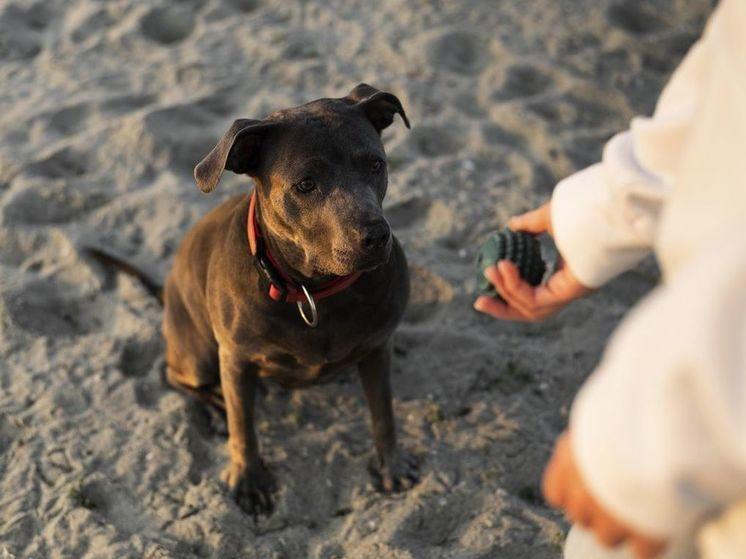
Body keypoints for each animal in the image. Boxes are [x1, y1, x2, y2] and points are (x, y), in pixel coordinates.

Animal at [90, 85, 416, 520]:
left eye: (376, 165)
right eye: (306, 184)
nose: (376, 236)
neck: (313, 291)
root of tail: (167, 290)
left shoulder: (378, 350)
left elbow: (384, 415)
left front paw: (391, 465)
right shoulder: (236, 360)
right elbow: (243, 428)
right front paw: (248, 479)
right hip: (198, 352)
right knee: (175, 375)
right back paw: (213, 405)